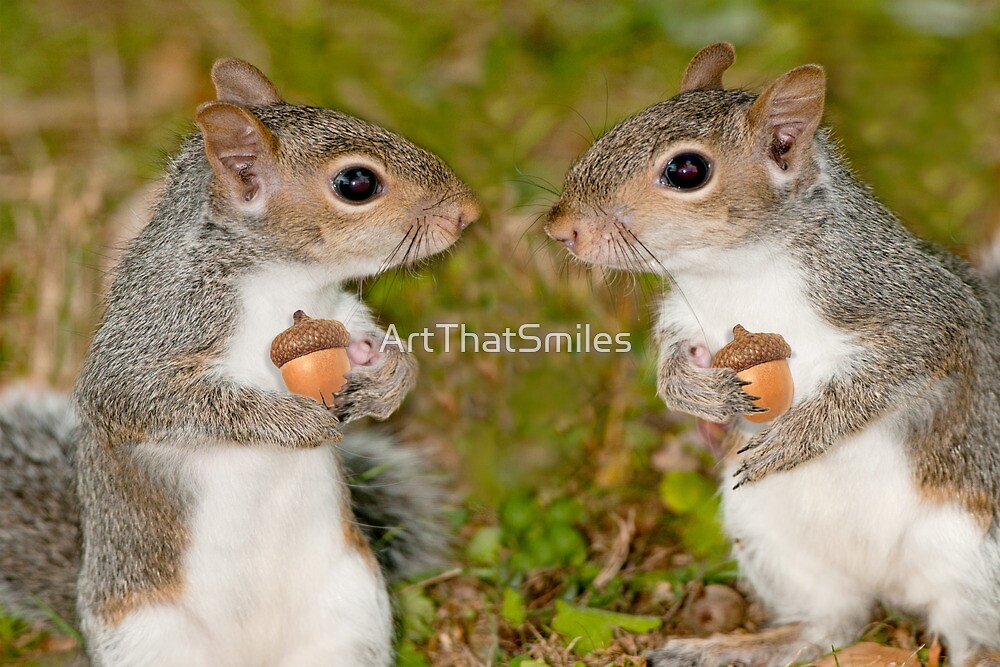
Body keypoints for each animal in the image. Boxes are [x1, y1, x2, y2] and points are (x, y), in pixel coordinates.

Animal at [0, 57, 479, 667]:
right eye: (357, 184)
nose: (468, 212)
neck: (284, 281)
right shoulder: (157, 331)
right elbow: (146, 398)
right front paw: (291, 421)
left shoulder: (338, 312)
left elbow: (368, 337)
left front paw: (391, 377)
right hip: (148, 638)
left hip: (352, 611)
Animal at [546, 42, 1000, 666]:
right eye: (615, 129)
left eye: (687, 171)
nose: (560, 228)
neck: (734, 273)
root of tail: (892, 587)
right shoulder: (688, 317)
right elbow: (671, 361)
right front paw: (695, 394)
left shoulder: (912, 305)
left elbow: (898, 368)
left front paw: (797, 438)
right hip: (770, 539)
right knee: (833, 625)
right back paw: (719, 649)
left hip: (972, 560)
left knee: (969, 638)